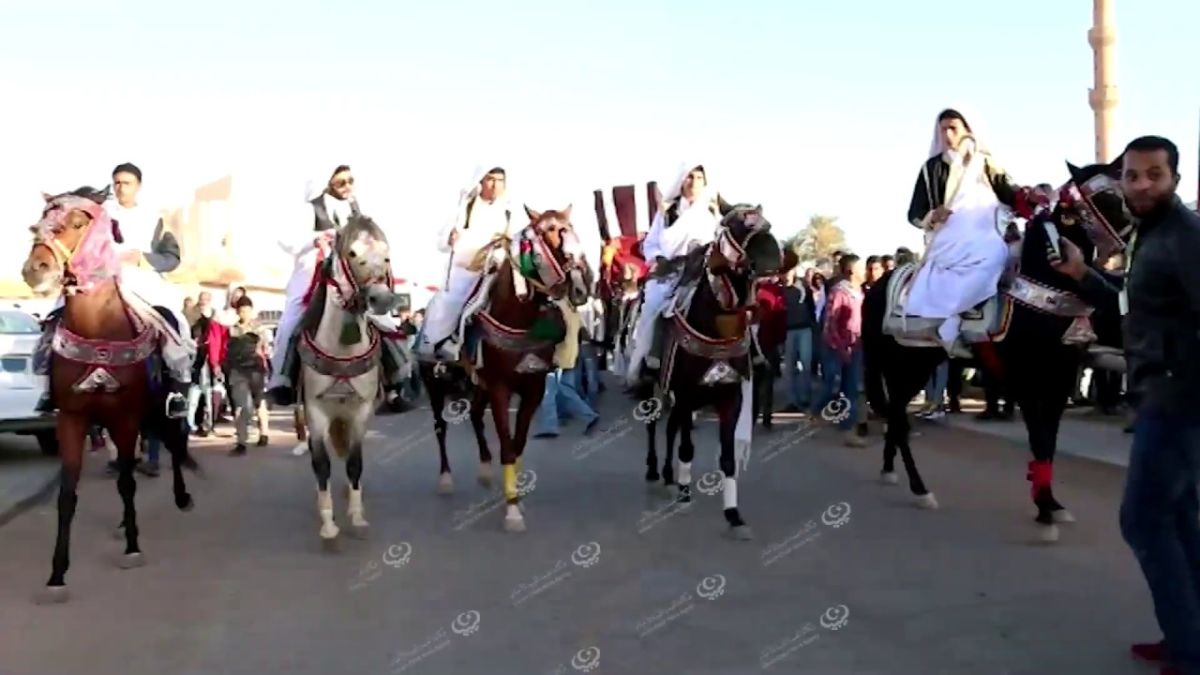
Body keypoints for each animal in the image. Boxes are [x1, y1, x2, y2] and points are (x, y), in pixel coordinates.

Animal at [21, 186, 198, 600]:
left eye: (77, 221)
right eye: (39, 222)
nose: (36, 269)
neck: (98, 328)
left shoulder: (126, 416)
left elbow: (128, 483)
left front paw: (133, 547)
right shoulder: (73, 418)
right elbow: (68, 493)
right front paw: (57, 574)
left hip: (159, 408)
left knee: (173, 443)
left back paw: (181, 497)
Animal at [294, 213, 398, 547]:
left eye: (386, 254)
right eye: (352, 253)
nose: (381, 298)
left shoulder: (361, 411)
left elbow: (355, 463)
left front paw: (357, 516)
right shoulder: (316, 411)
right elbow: (321, 464)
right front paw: (328, 524)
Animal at [420, 201, 592, 528]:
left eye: (572, 228)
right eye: (549, 231)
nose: (582, 283)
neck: (517, 316)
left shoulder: (532, 388)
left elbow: (518, 442)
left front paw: (515, 495)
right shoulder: (501, 388)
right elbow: (508, 444)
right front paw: (512, 510)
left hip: (479, 383)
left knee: (475, 415)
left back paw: (486, 470)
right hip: (434, 383)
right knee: (439, 427)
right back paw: (445, 478)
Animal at [633, 201, 782, 538]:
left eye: (767, 223)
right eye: (735, 225)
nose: (773, 258)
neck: (716, 328)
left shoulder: (730, 397)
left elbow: (727, 458)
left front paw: (733, 514)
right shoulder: (688, 393)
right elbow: (687, 447)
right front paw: (685, 494)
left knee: (670, 426)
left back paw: (667, 474)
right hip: (651, 386)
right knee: (653, 425)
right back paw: (653, 469)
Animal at [864, 158, 1132, 540]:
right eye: (1107, 196)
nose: (1124, 251)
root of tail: (875, 287)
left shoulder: (1060, 378)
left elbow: (1049, 442)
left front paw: (1051, 504)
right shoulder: (1025, 379)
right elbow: (1038, 439)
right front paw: (1045, 513)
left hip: (918, 364)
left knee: (896, 415)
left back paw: (891, 470)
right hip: (903, 364)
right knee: (898, 418)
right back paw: (921, 489)